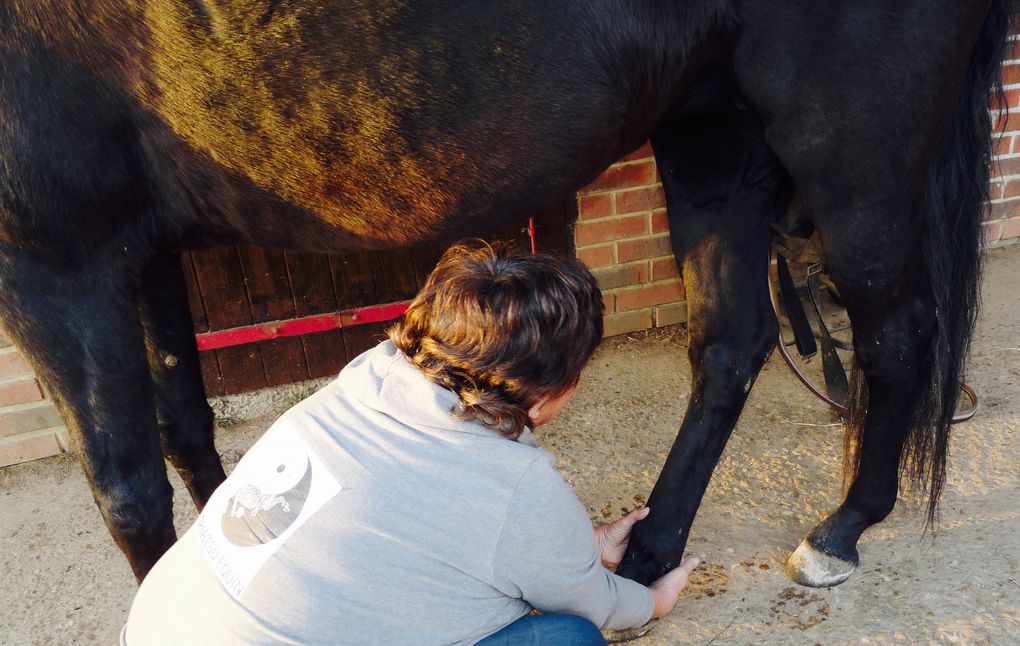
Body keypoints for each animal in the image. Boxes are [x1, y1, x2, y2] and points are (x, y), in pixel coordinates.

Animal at [0, 1, 1007, 583]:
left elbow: (126, 488)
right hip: (717, 133)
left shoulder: (55, 266)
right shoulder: (137, 253)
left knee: (897, 335)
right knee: (731, 342)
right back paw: (652, 548)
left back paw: (840, 532)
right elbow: (184, 428)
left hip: (850, 152)